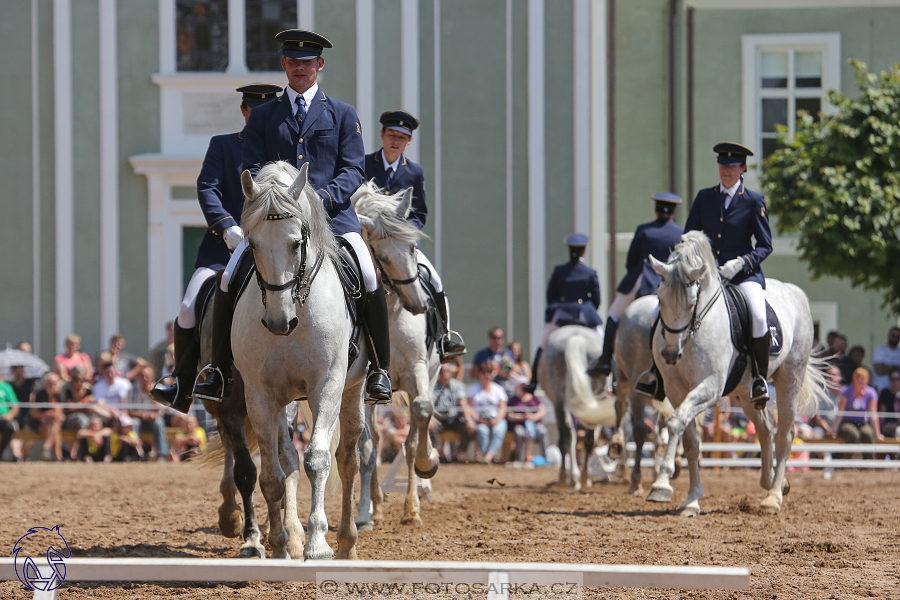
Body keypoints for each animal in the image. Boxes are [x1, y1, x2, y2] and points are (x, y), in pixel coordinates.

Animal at [236, 162, 370, 560]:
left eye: (297, 242)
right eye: (252, 244)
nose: (279, 322)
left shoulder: (327, 386)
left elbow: (318, 460)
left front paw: (318, 544)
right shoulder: (259, 395)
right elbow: (272, 475)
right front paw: (280, 545)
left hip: (352, 391)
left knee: (348, 458)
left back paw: (347, 541)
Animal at [352, 180, 442, 528]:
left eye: (413, 248)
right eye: (382, 257)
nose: (418, 305)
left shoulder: (417, 371)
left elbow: (419, 421)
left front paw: (427, 466)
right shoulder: (362, 386)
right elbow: (366, 446)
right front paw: (365, 513)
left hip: (430, 374)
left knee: (415, 426)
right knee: (377, 440)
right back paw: (376, 503)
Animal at [536, 326, 616, 490]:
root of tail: (576, 336)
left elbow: (563, 440)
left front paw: (564, 476)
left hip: (560, 400)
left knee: (568, 434)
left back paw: (574, 477)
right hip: (594, 399)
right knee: (589, 437)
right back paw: (584, 477)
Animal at [644, 230, 828, 516]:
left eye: (691, 301)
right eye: (660, 298)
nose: (671, 354)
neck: (696, 329)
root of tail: (792, 291)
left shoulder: (710, 387)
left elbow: (675, 423)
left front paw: (661, 484)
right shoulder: (676, 391)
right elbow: (690, 440)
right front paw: (691, 500)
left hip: (790, 378)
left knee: (785, 436)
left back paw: (773, 497)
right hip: (747, 391)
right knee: (765, 430)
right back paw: (773, 481)